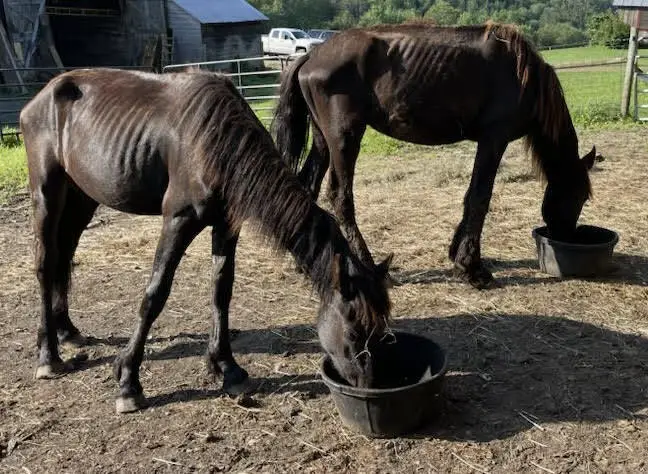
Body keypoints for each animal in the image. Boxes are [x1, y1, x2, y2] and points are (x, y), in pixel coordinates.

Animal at [22, 66, 392, 412]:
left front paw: (227, 367)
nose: (369, 385)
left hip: (83, 197)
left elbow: (221, 290)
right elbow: (155, 294)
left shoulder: (226, 225)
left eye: (382, 327)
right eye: (355, 330)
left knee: (64, 255)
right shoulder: (179, 220)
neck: (215, 141)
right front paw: (128, 381)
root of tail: (42, 97)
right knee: (46, 264)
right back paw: (48, 356)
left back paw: (67, 330)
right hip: (47, 193)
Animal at [270, 21, 596, 288]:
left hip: (323, 141)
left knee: (307, 187)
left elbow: (470, 196)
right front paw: (472, 269)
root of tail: (311, 56)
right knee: (341, 198)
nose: (566, 235)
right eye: (579, 196)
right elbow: (480, 198)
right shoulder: (493, 140)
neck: (521, 74)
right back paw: (370, 267)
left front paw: (457, 256)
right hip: (344, 140)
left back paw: (305, 263)